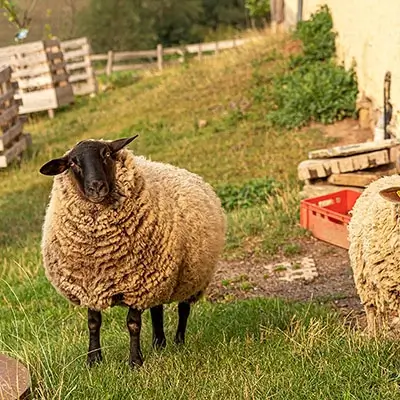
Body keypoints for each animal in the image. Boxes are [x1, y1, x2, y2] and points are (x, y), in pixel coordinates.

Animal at [40, 136, 228, 368]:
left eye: (106, 154)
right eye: (73, 163)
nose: (97, 187)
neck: (100, 254)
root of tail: (190, 174)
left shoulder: (138, 284)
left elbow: (133, 324)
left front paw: (135, 361)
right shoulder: (90, 285)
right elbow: (93, 323)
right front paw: (93, 360)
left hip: (192, 276)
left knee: (183, 309)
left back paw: (178, 341)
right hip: (162, 279)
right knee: (157, 309)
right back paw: (159, 343)